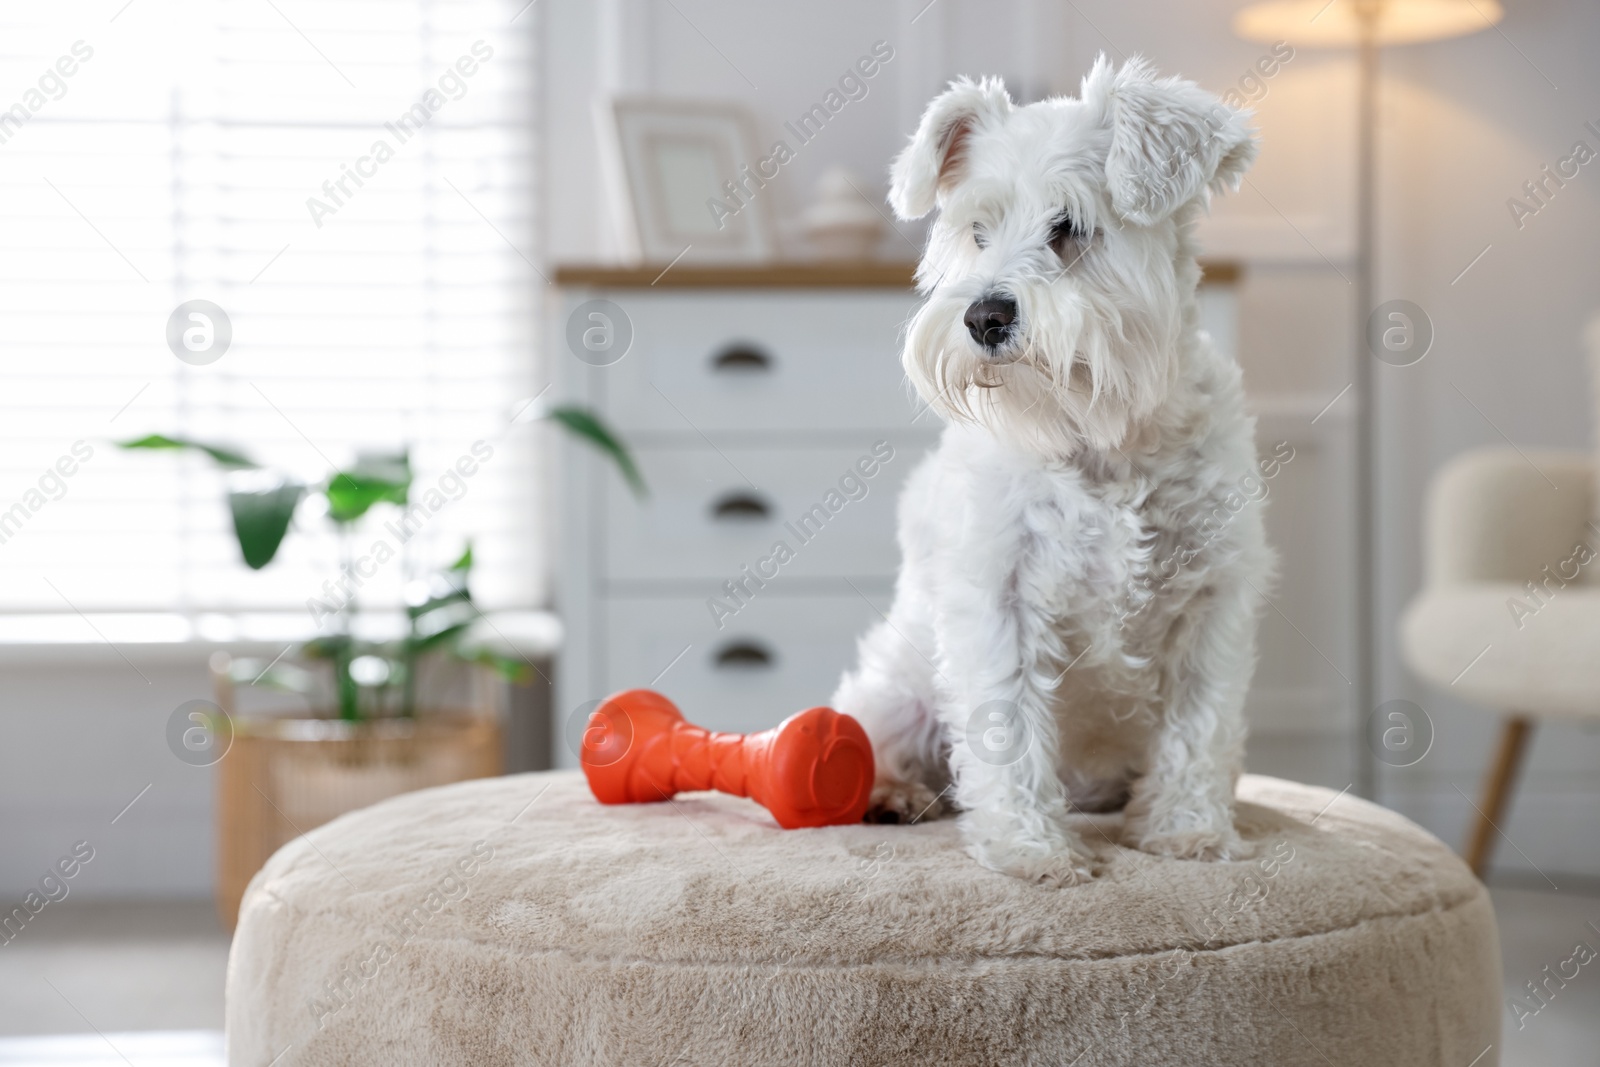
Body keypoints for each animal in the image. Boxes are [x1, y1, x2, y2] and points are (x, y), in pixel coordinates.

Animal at [838, 56, 1273, 883]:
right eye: (976, 231)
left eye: (1068, 227)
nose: (984, 316)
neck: (1098, 431)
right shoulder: (999, 597)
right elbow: (1006, 729)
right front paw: (1030, 848)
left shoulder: (1212, 602)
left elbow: (1198, 727)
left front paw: (1187, 831)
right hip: (898, 688)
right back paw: (891, 791)